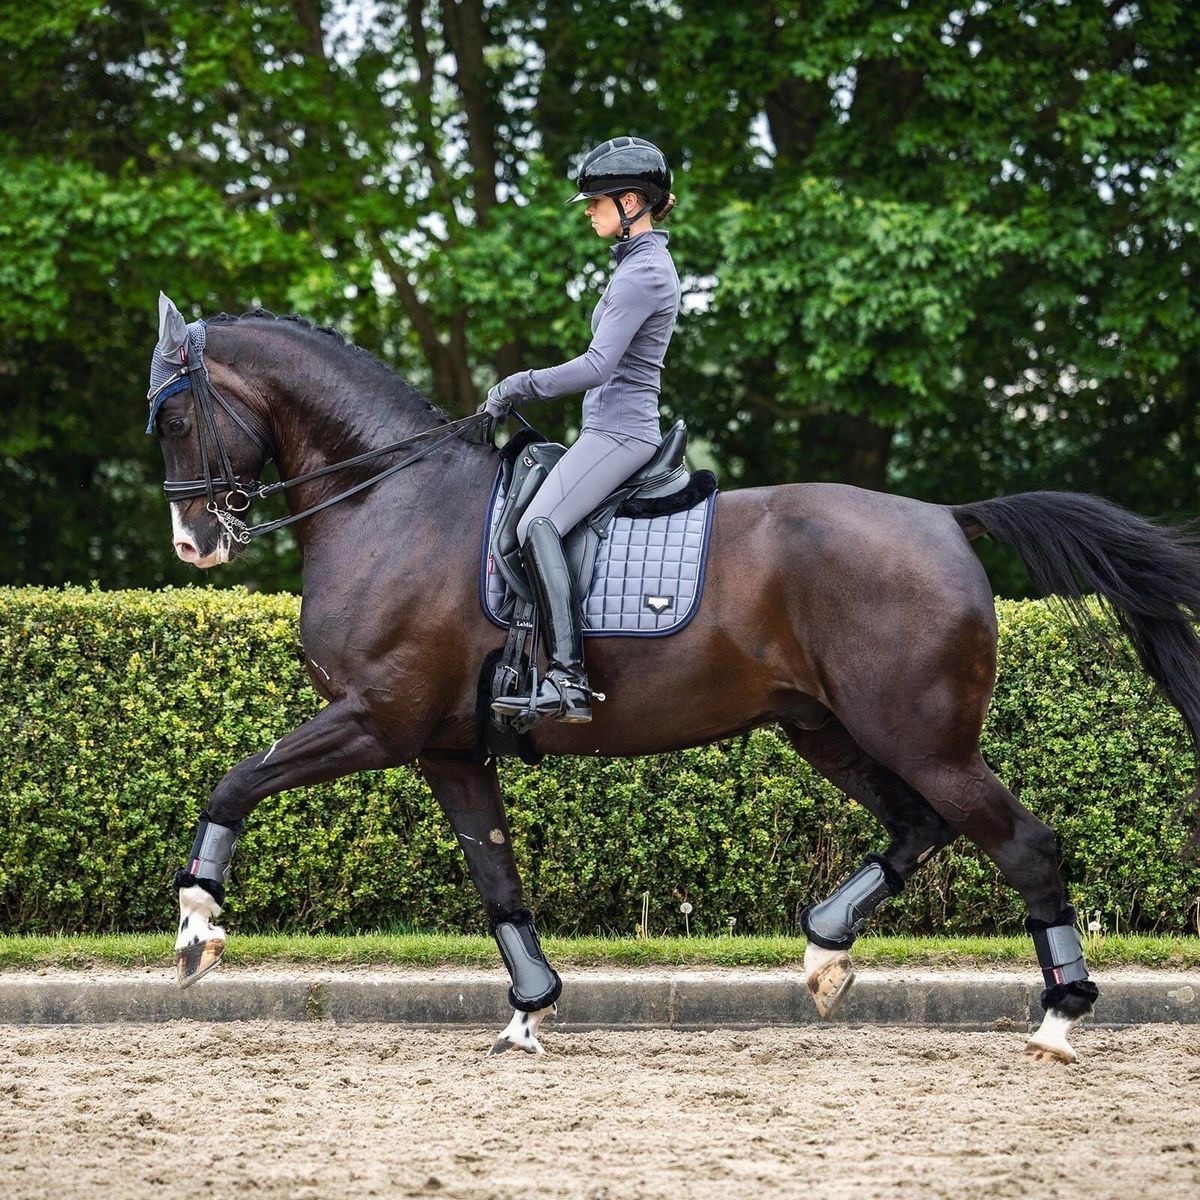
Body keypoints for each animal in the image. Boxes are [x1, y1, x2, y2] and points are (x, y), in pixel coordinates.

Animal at [146, 295, 1200, 1062]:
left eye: (176, 415)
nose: (195, 543)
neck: (392, 501)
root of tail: (946, 518)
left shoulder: (377, 720)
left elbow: (235, 781)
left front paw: (197, 927)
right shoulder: (448, 750)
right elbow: (497, 877)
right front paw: (529, 1010)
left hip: (920, 737)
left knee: (1024, 845)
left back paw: (1058, 1019)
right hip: (827, 729)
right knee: (919, 827)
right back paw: (825, 953)